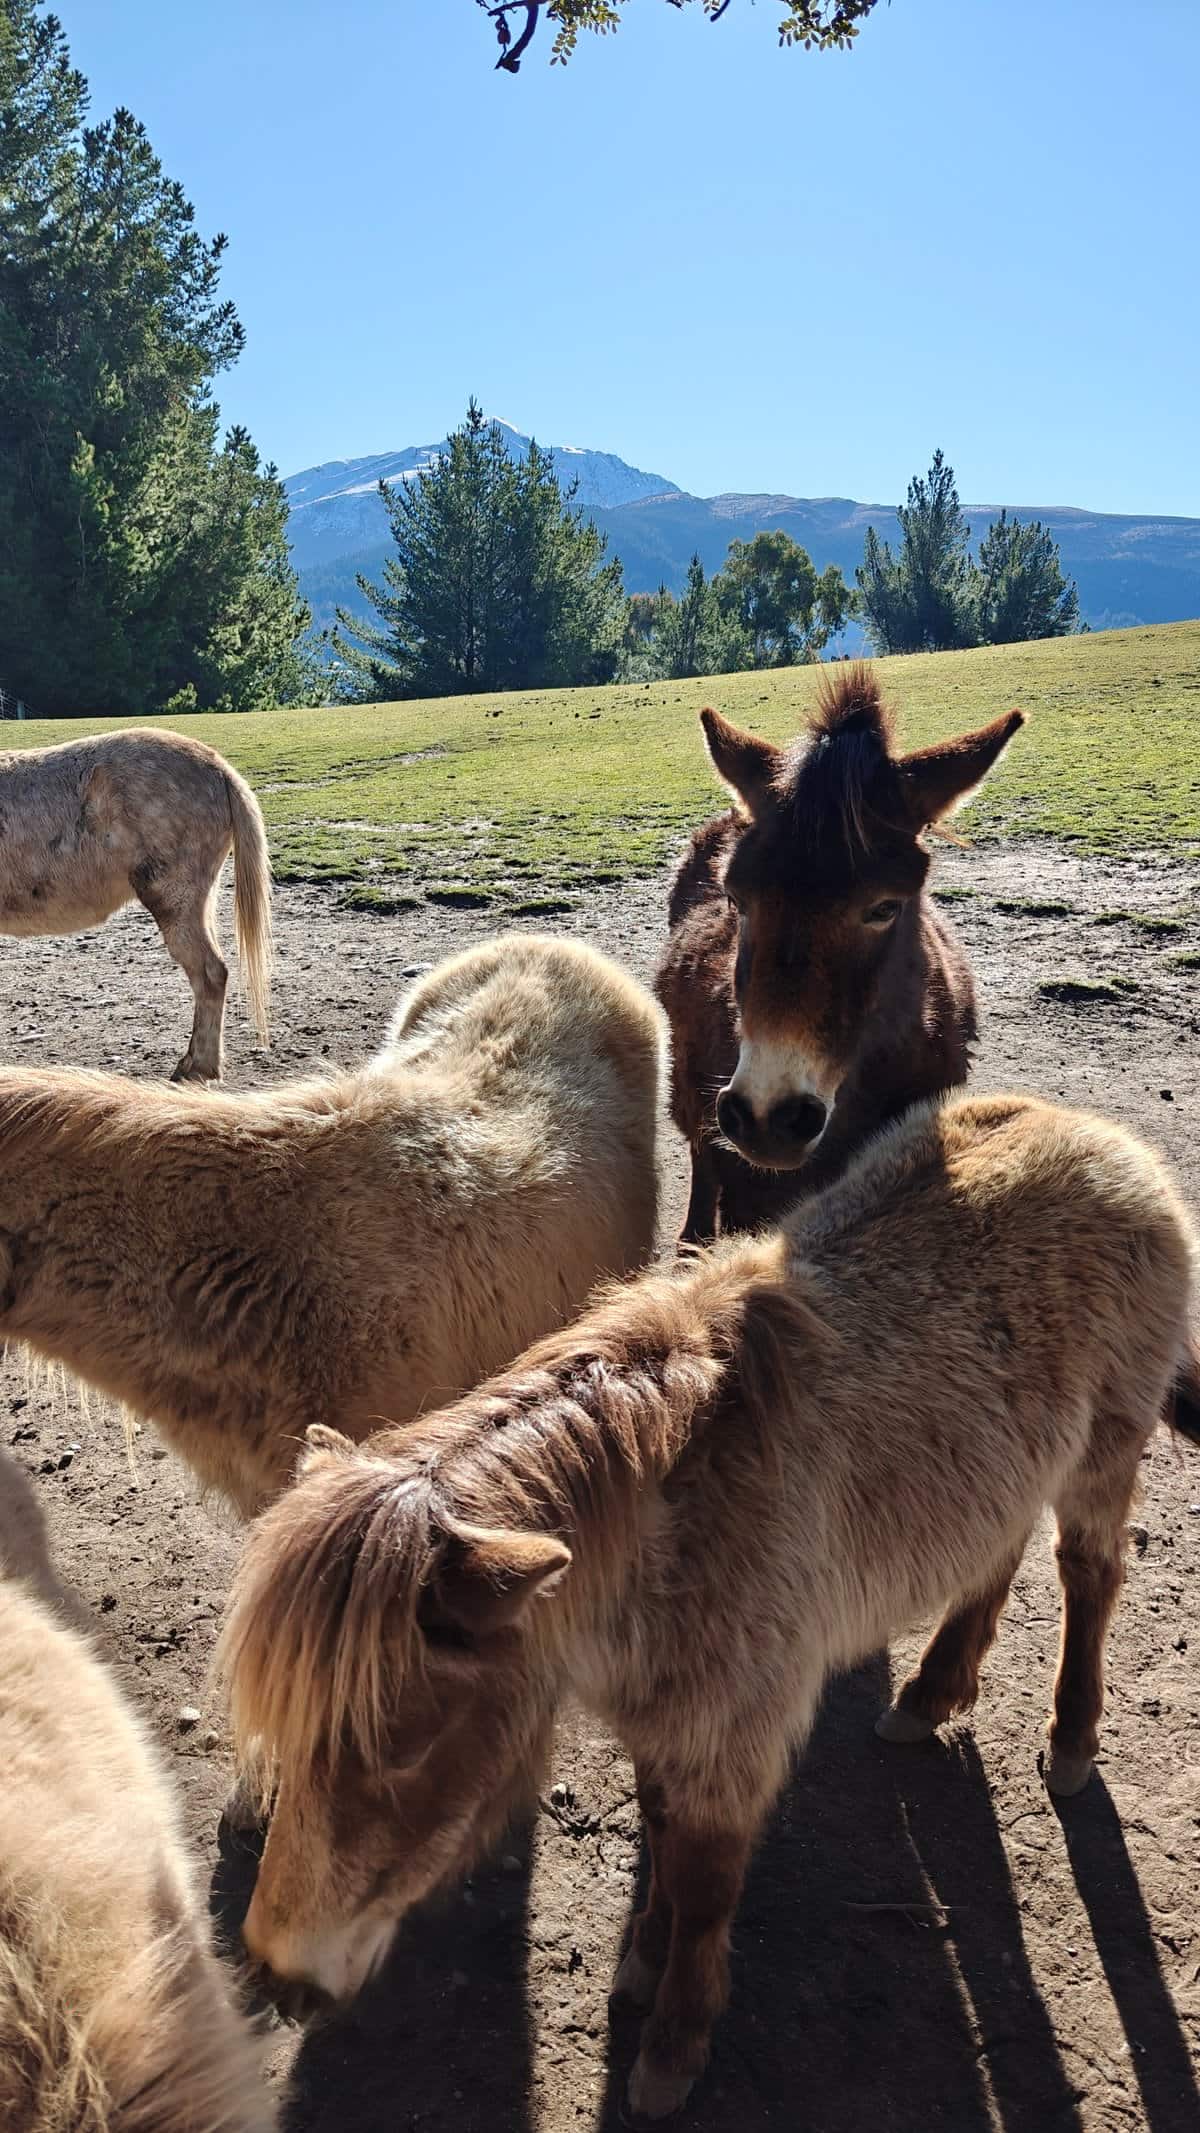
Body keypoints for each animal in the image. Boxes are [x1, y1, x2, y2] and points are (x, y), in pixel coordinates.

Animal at [217, 1090, 1196, 2120]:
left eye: (403, 1745)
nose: (278, 1974)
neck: (667, 1532)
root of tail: (1101, 1137)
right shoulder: (665, 1716)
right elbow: (660, 1832)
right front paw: (643, 1960)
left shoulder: (732, 1736)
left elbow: (706, 1883)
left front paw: (673, 2045)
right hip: (1008, 1471)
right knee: (993, 1557)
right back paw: (931, 1692)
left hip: (1104, 1452)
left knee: (1088, 1573)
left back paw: (1071, 1742)